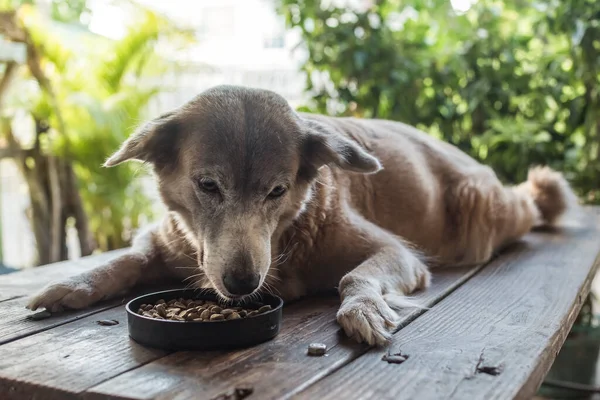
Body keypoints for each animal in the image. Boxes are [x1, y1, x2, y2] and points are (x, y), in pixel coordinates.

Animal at [24, 86, 576, 346]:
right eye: (208, 186)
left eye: (277, 191)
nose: (243, 284)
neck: (286, 236)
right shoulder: (168, 242)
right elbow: (126, 261)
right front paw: (70, 286)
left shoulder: (397, 253)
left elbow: (355, 277)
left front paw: (362, 309)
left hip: (483, 207)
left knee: (532, 203)